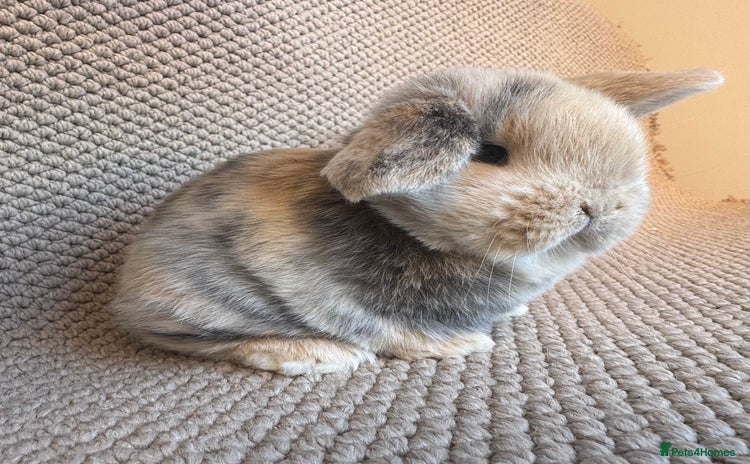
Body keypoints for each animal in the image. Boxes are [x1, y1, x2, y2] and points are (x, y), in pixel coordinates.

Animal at [111, 67, 722, 375]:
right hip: (199, 303)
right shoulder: (349, 298)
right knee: (194, 340)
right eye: (491, 154)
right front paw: (463, 347)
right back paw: (313, 354)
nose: (599, 207)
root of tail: (124, 290)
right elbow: (391, 330)